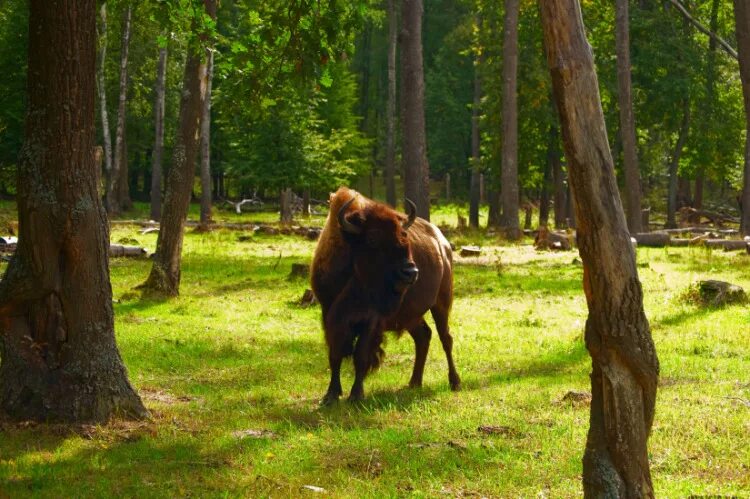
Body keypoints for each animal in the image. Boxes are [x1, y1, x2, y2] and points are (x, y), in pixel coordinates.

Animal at [310, 188, 462, 406]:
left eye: (403, 235)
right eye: (372, 238)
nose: (411, 272)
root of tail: (443, 244)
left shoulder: (371, 319)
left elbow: (361, 355)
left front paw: (356, 395)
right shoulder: (329, 314)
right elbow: (335, 354)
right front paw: (330, 396)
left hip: (441, 303)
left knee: (445, 338)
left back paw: (454, 382)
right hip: (410, 316)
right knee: (423, 336)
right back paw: (414, 382)